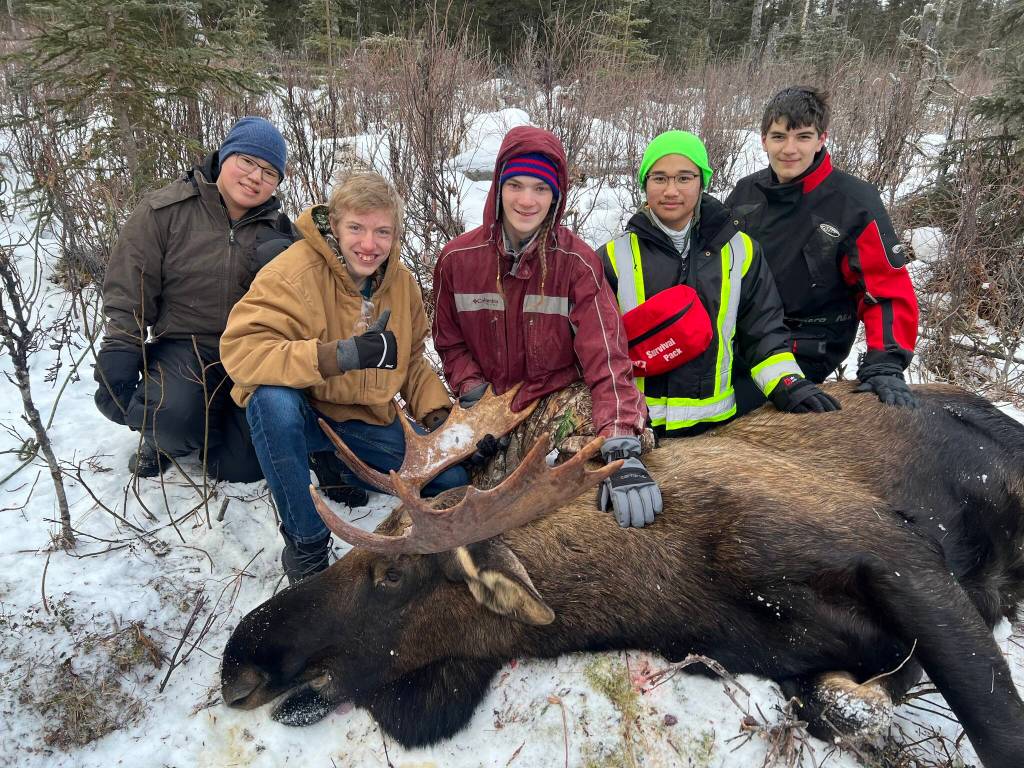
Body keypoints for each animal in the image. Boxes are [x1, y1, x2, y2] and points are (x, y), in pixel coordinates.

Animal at [221, 383, 1024, 767]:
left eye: (389, 573)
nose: (239, 659)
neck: (681, 590)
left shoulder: (894, 550)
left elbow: (996, 725)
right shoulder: (786, 659)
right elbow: (837, 701)